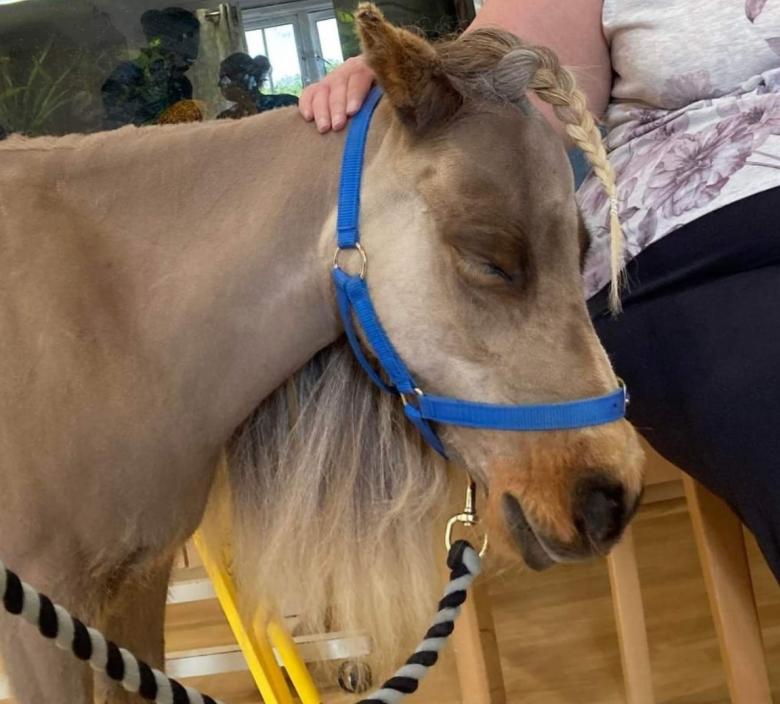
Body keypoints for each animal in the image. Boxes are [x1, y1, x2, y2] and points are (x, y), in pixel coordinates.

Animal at [0, 5, 644, 702]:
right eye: (488, 260)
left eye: (583, 249)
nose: (610, 500)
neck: (111, 311)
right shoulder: (47, 627)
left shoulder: (136, 588)